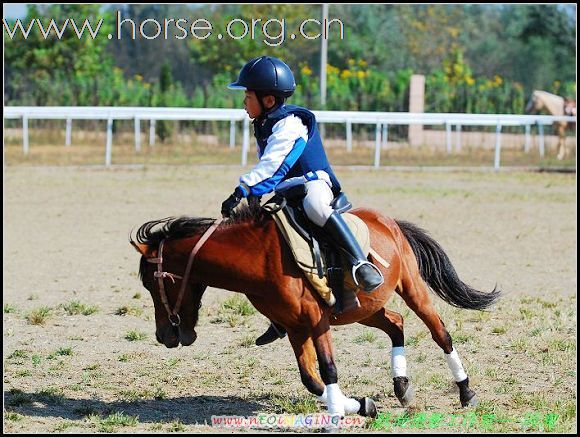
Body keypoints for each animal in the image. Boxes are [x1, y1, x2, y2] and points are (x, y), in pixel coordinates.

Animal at [130, 204, 498, 418]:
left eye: (151, 283)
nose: (163, 336)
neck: (260, 256)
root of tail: (388, 220)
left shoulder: (315, 320)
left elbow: (329, 369)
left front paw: (339, 414)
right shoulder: (295, 325)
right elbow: (311, 378)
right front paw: (361, 405)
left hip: (412, 288)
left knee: (440, 333)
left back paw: (466, 392)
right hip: (364, 308)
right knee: (396, 323)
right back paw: (402, 387)